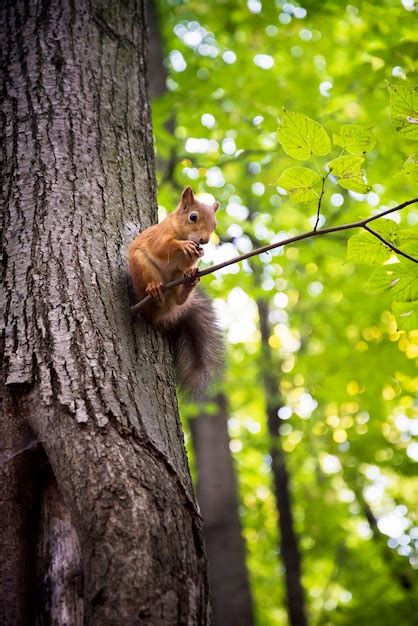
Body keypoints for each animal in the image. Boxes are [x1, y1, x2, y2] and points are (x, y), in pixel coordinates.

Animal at [128, 185, 224, 398]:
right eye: (193, 217)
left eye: (215, 224)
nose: (204, 241)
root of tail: (161, 314)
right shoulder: (159, 235)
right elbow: (163, 247)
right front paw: (182, 245)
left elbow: (187, 262)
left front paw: (197, 255)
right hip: (142, 266)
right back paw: (154, 289)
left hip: (175, 282)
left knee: (179, 297)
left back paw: (189, 282)